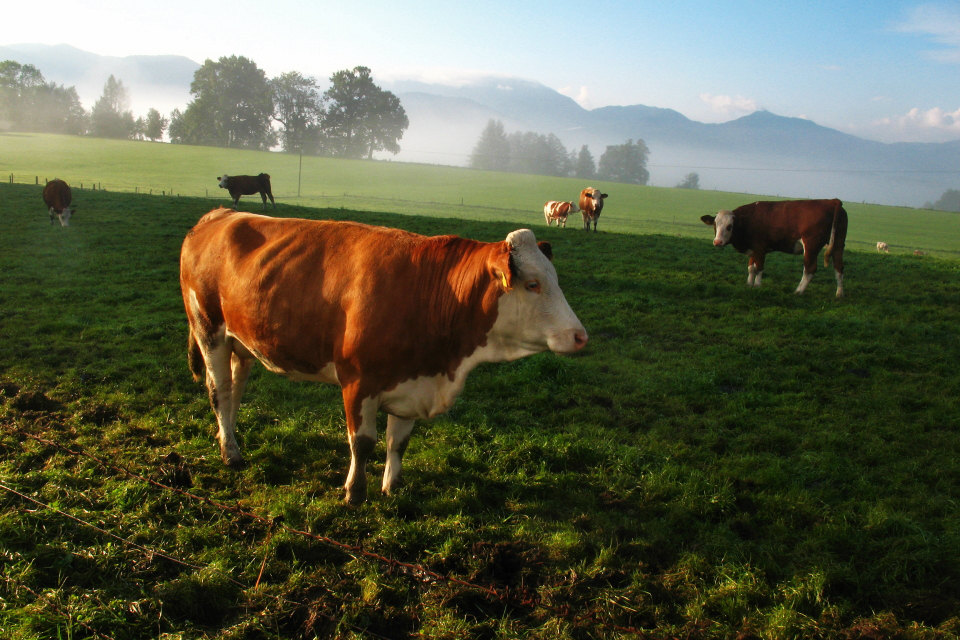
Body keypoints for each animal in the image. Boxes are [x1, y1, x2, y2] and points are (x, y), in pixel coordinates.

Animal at [179, 210, 584, 504]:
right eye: (532, 284)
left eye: (555, 279)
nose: (580, 336)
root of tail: (220, 214)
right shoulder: (358, 380)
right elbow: (362, 442)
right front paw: (355, 493)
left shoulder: (412, 381)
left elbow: (397, 442)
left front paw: (392, 488)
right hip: (209, 331)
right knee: (220, 392)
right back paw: (231, 453)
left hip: (243, 343)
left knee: (235, 390)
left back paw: (229, 438)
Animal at [696, 198, 848, 298]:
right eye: (715, 225)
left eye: (729, 226)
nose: (717, 242)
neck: (748, 220)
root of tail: (832, 201)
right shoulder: (753, 250)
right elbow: (751, 267)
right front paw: (748, 284)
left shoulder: (760, 248)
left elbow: (759, 268)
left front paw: (757, 285)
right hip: (839, 243)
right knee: (839, 267)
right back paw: (839, 294)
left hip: (811, 245)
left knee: (809, 269)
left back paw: (798, 291)